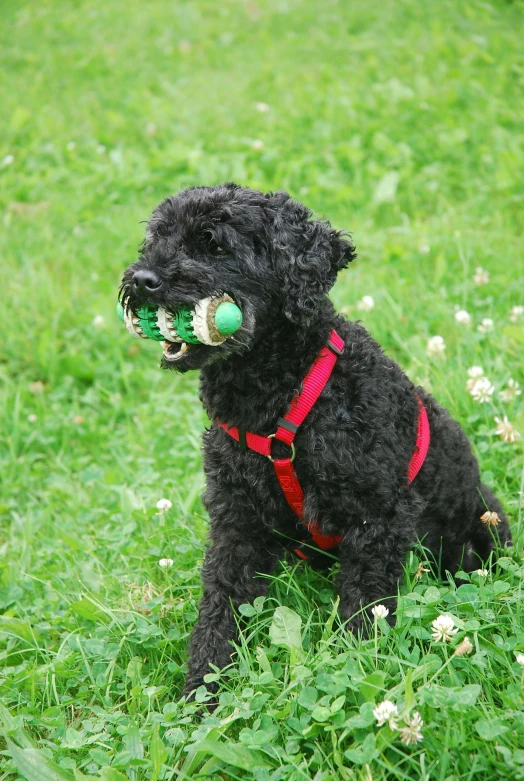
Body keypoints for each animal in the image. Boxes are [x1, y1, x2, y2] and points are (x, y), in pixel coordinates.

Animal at [119, 184, 512, 700]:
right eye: (156, 238)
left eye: (215, 245)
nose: (142, 279)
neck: (277, 397)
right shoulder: (236, 520)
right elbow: (220, 608)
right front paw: (201, 694)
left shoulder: (377, 517)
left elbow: (365, 609)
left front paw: (355, 673)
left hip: (481, 531)